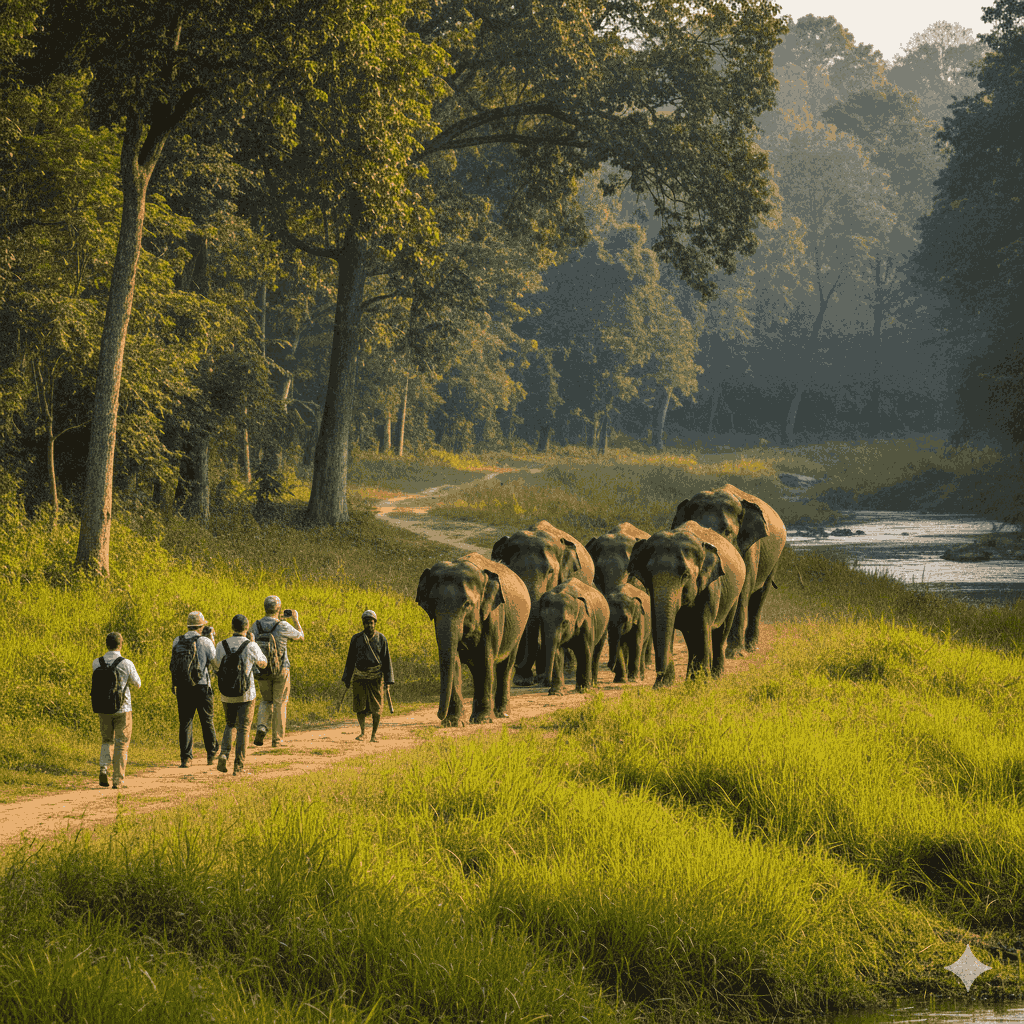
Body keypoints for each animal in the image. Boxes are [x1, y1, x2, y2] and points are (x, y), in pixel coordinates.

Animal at [415, 552, 531, 726]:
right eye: (432, 604)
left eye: (467, 604)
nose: (439, 715)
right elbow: (455, 661)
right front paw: (453, 723)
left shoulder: (493, 616)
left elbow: (485, 659)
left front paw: (483, 720)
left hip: (518, 630)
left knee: (505, 666)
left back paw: (502, 714)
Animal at [491, 520, 595, 686]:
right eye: (513, 570)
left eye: (550, 571)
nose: (518, 665)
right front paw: (523, 679)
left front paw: (538, 676)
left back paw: (566, 667)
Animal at [626, 522, 745, 685]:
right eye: (648, 575)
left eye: (686, 575)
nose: (660, 679)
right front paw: (664, 686)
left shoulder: (710, 587)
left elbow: (702, 626)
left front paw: (702, 683)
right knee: (690, 639)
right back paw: (691, 679)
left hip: (734, 596)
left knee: (720, 632)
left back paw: (715, 676)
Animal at [671, 484, 787, 656]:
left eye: (727, 531)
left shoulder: (751, 548)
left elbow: (743, 590)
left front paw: (734, 653)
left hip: (775, 557)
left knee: (759, 596)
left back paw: (751, 647)